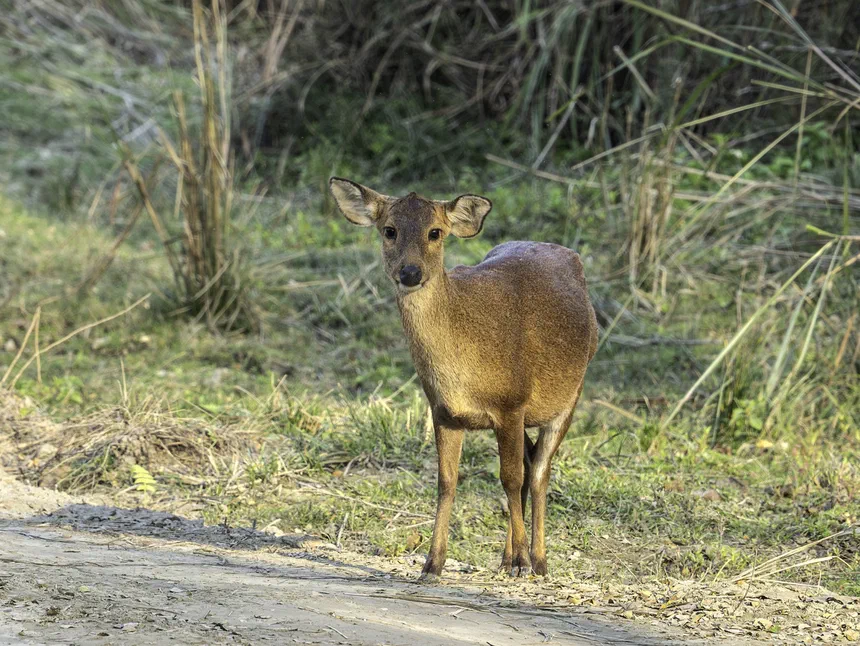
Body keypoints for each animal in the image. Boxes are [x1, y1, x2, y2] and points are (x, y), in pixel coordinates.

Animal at [329, 177, 598, 579]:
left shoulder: (511, 401)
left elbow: (510, 478)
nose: (410, 272)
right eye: (389, 230)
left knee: (537, 473)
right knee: (528, 466)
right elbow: (446, 482)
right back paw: (507, 558)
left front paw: (522, 561)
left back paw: (537, 561)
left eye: (435, 232)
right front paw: (432, 563)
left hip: (571, 395)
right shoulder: (443, 411)